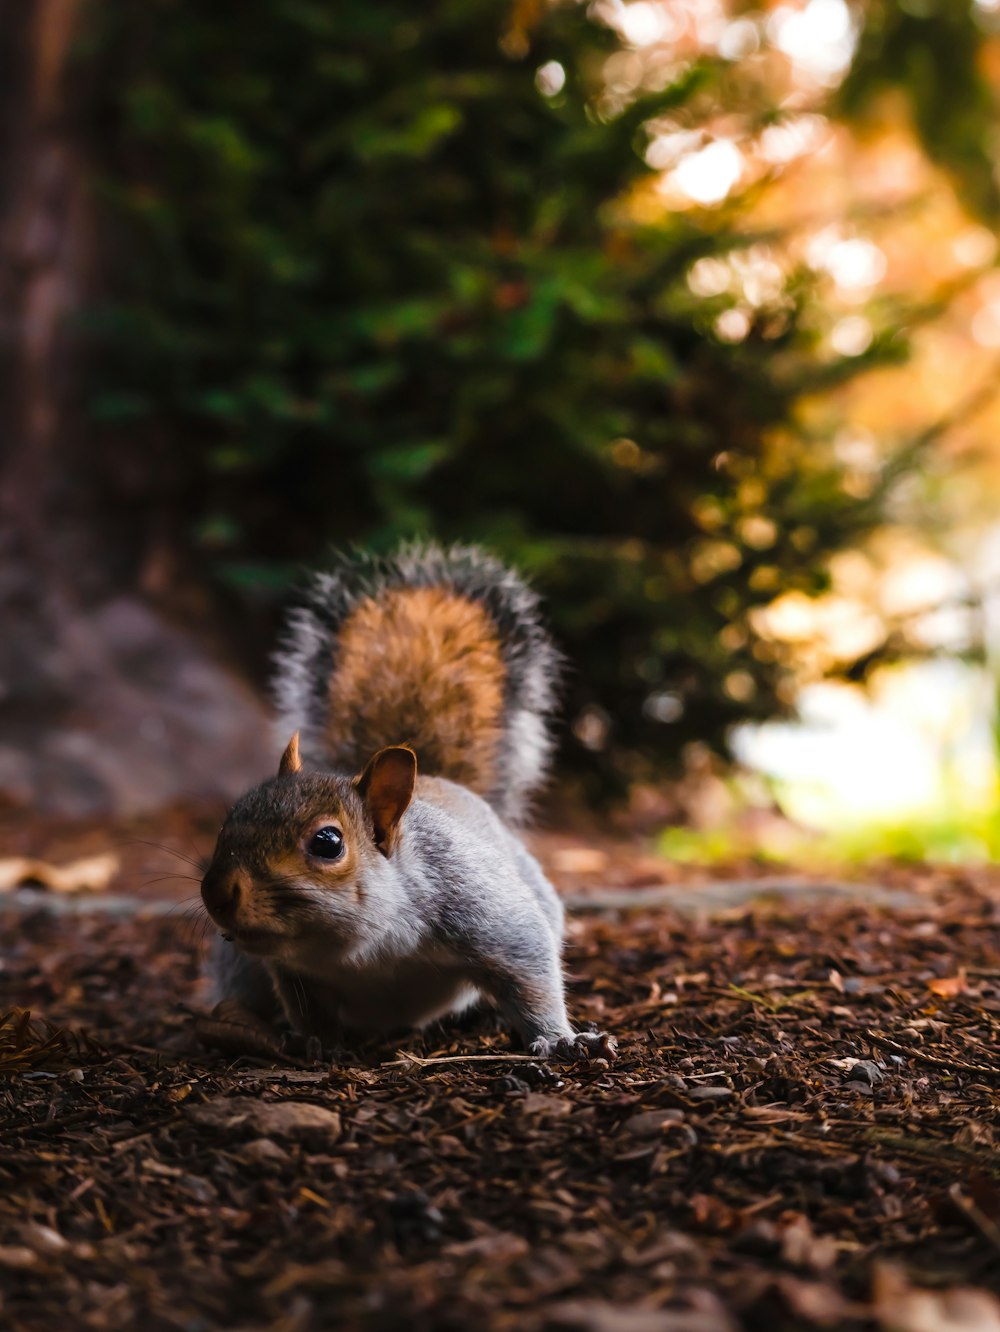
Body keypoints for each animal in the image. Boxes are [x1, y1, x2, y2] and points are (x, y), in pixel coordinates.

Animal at [199, 540, 617, 1060]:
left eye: (327, 843)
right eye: (229, 820)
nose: (216, 893)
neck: (360, 950)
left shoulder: (479, 905)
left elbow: (529, 969)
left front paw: (561, 1039)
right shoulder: (292, 973)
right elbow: (310, 1012)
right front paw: (320, 1045)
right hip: (239, 964)